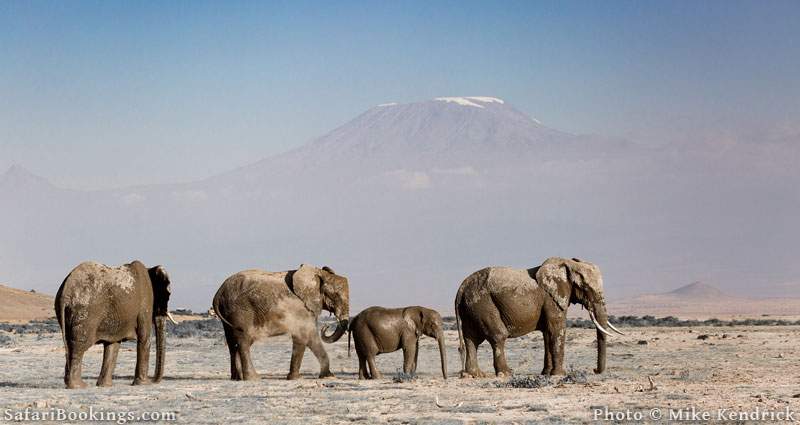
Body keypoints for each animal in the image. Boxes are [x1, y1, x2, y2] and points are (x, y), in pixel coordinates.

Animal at [54, 258, 177, 388]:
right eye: (166, 295)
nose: (153, 380)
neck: (150, 270)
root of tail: (66, 292)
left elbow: (113, 344)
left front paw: (105, 386)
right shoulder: (145, 302)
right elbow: (144, 338)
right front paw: (144, 384)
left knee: (69, 344)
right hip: (85, 311)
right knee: (79, 346)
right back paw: (79, 386)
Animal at [212, 264, 350, 380]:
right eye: (336, 295)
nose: (326, 326)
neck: (317, 274)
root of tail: (218, 294)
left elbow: (308, 338)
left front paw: (328, 376)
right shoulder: (300, 309)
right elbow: (305, 336)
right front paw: (296, 378)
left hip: (229, 313)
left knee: (232, 344)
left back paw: (237, 378)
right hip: (240, 311)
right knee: (243, 341)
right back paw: (253, 378)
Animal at [454, 256, 620, 376]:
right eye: (586, 288)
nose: (595, 370)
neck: (568, 263)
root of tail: (461, 287)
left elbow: (547, 333)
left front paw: (546, 373)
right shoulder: (552, 299)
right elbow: (556, 329)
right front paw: (559, 374)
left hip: (471, 307)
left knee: (471, 339)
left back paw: (475, 375)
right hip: (482, 303)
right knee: (498, 336)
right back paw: (506, 374)